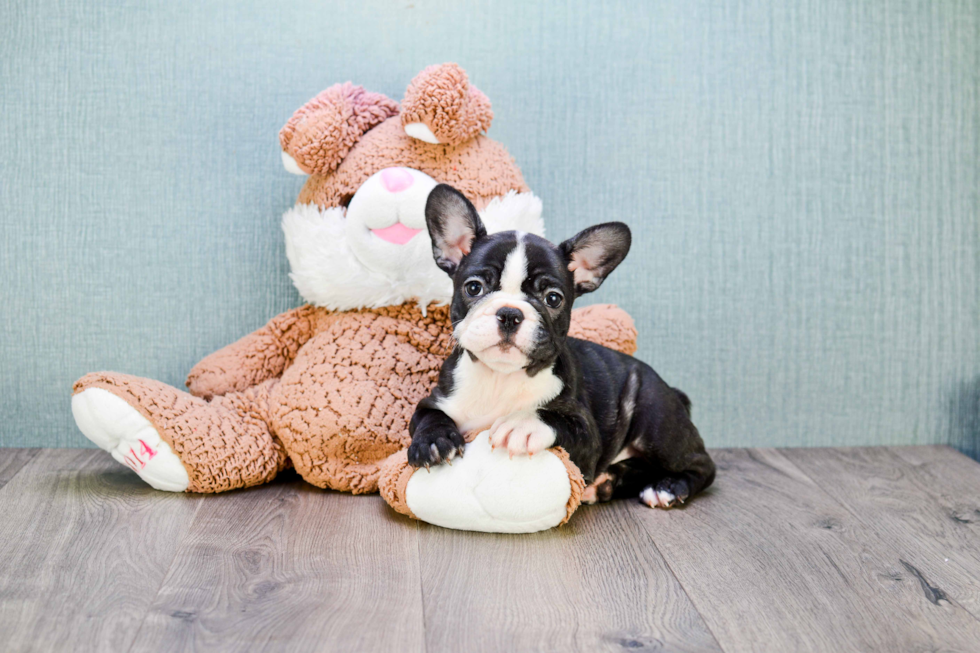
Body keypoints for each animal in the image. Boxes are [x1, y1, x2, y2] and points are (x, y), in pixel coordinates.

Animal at [402, 185, 716, 510]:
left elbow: (558, 420)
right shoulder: (435, 400)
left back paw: (668, 487)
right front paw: (433, 441)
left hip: (655, 420)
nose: (510, 313)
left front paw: (523, 424)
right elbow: (427, 417)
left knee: (702, 464)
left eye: (553, 298)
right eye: (474, 287)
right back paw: (609, 481)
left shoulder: (587, 437)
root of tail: (671, 391)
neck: (500, 378)